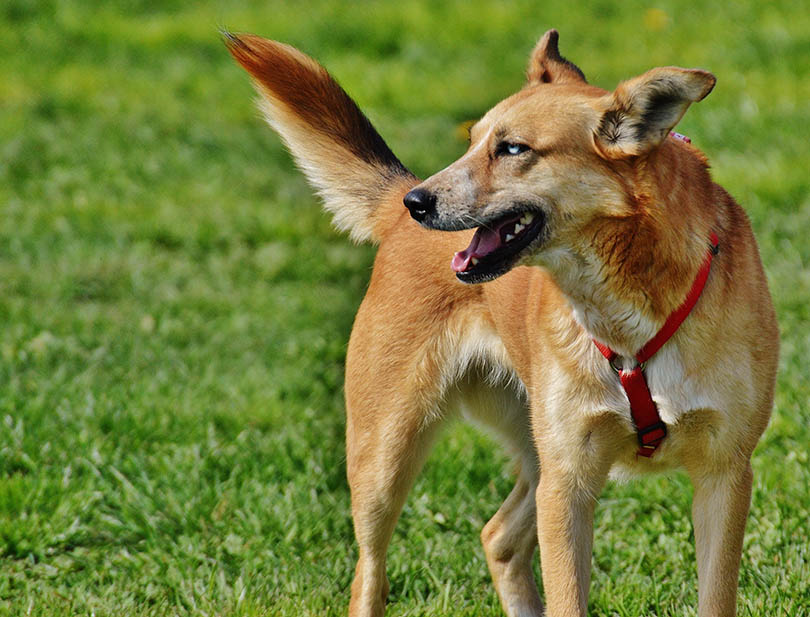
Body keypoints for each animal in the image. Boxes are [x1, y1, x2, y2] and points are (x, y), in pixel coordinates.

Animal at [227, 28, 776, 616]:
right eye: (472, 141)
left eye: (513, 149)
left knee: (497, 536)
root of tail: (397, 211)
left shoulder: (723, 476)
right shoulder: (568, 484)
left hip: (532, 459)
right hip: (387, 458)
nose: (418, 201)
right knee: (371, 572)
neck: (629, 315)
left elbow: (715, 596)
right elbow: (568, 601)